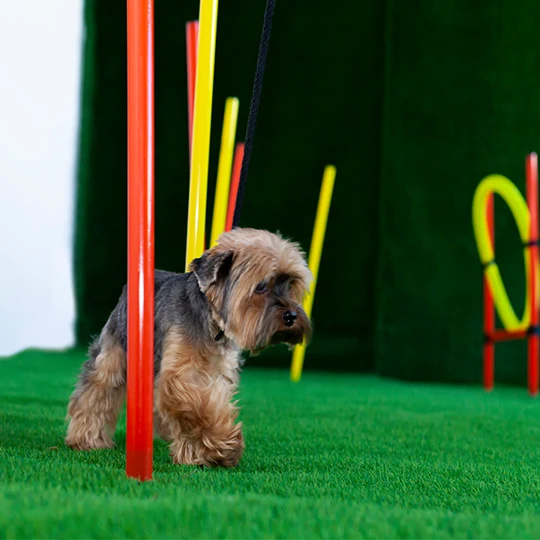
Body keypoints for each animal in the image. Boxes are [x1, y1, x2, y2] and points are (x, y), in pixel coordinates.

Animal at [65, 226, 312, 466]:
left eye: (290, 284)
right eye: (260, 287)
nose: (291, 316)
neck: (212, 324)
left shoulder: (218, 372)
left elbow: (209, 403)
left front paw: (198, 452)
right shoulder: (180, 374)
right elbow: (198, 407)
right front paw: (222, 445)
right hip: (115, 351)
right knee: (97, 388)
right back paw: (86, 439)